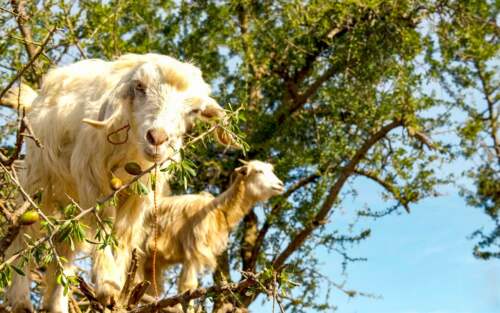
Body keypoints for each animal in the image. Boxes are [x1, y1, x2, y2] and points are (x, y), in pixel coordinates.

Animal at [2, 52, 232, 310]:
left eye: (194, 110)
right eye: (139, 87)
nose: (157, 138)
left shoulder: (138, 194)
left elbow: (123, 235)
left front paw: (120, 286)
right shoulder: (92, 178)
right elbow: (103, 223)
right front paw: (107, 286)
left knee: (66, 243)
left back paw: (56, 305)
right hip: (38, 179)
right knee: (23, 235)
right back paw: (20, 300)